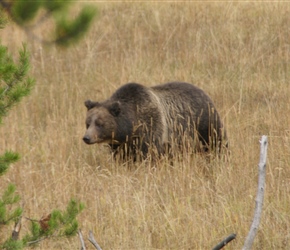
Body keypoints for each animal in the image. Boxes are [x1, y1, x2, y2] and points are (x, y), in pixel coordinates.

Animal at [82, 82, 228, 160]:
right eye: (88, 123)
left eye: (99, 123)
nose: (86, 138)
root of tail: (203, 92)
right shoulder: (122, 145)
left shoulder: (151, 129)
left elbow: (149, 156)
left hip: (204, 122)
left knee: (216, 141)